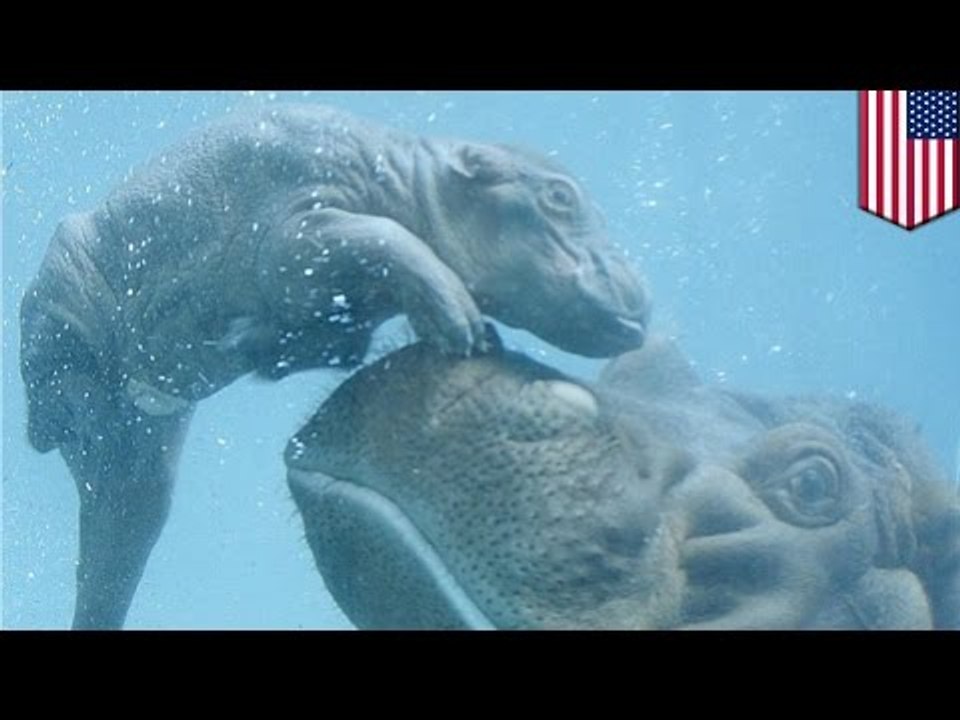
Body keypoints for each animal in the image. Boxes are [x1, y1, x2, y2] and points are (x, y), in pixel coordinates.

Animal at [19, 105, 649, 629]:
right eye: (560, 195)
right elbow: (387, 237)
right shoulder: (303, 228)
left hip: (146, 454)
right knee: (48, 394)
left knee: (130, 511)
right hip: (61, 300)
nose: (639, 297)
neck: (412, 175)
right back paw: (64, 415)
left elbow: (333, 333)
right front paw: (461, 318)